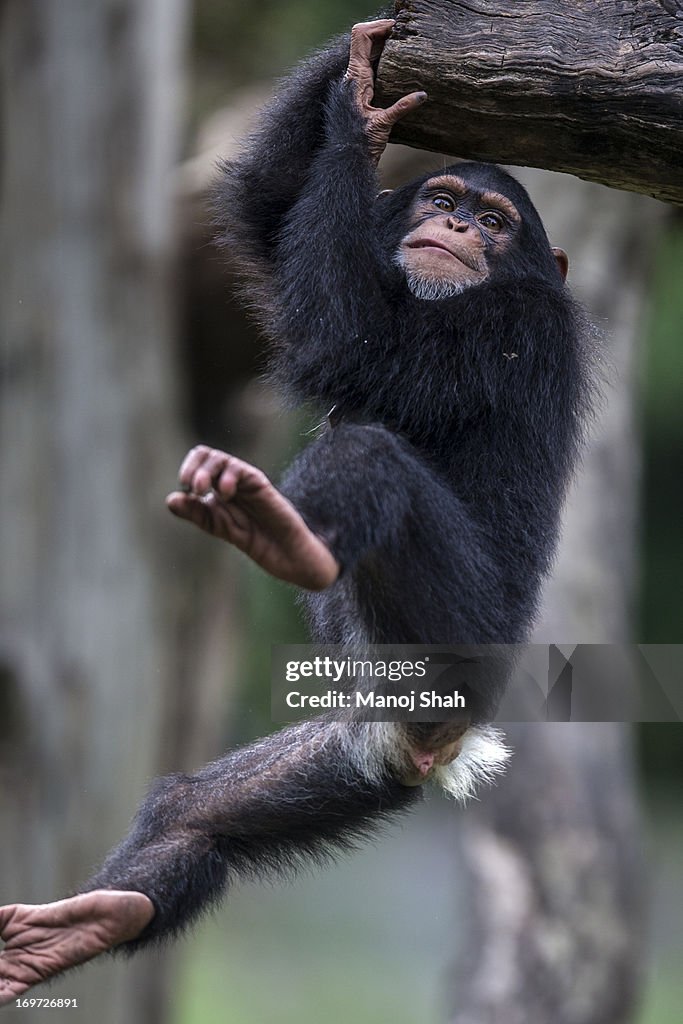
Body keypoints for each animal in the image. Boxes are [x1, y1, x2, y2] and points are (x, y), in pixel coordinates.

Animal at [0, 18, 593, 1007]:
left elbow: (355, 343)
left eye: (495, 221)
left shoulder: (509, 327)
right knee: (195, 814)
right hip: (350, 745)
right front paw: (353, 69)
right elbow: (265, 213)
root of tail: (441, 739)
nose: (455, 224)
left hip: (456, 643)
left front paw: (357, 118)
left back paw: (282, 531)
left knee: (368, 459)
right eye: (442, 196)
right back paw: (78, 925)